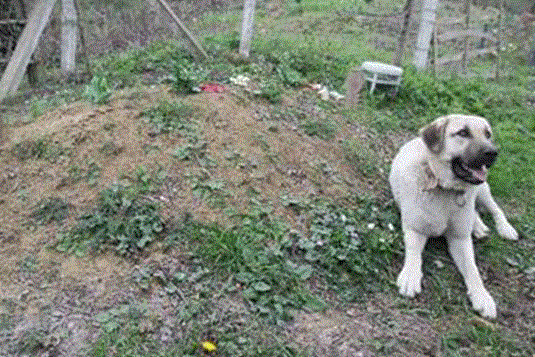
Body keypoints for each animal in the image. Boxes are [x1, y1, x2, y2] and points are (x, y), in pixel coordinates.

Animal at [390, 114, 520, 318]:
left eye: (487, 134)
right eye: (463, 133)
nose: (493, 152)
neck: (446, 189)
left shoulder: (460, 239)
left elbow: (473, 270)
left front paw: (482, 296)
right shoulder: (415, 229)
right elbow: (414, 253)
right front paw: (410, 275)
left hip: (482, 190)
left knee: (494, 209)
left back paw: (502, 227)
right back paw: (479, 226)